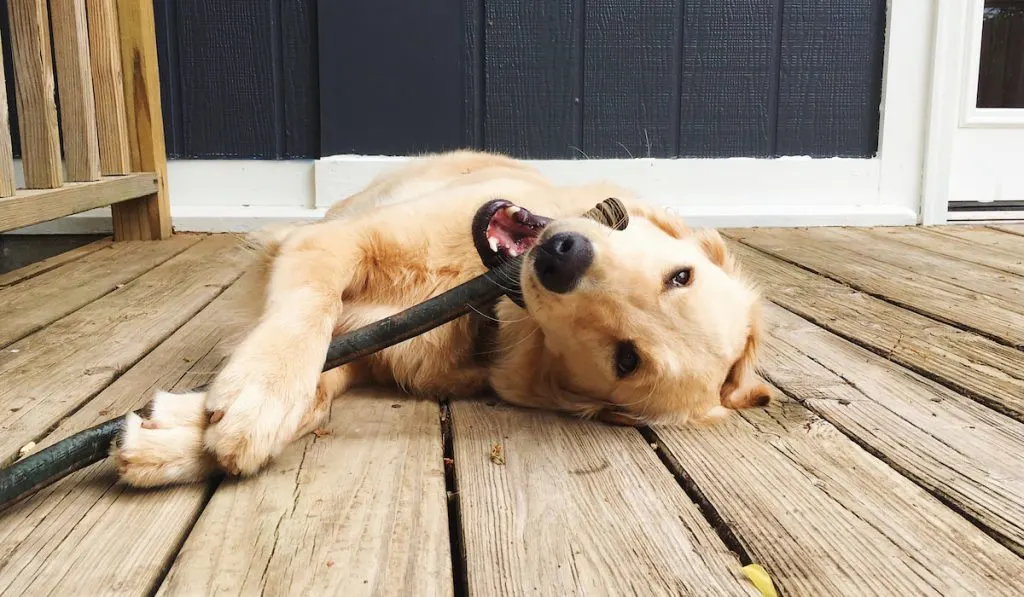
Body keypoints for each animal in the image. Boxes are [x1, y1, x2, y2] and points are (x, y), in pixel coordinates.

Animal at [112, 148, 770, 485]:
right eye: (680, 275)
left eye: (626, 358)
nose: (562, 256)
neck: (476, 301)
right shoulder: (333, 243)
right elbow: (306, 319)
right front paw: (258, 396)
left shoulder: (369, 349)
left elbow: (318, 394)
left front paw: (175, 436)